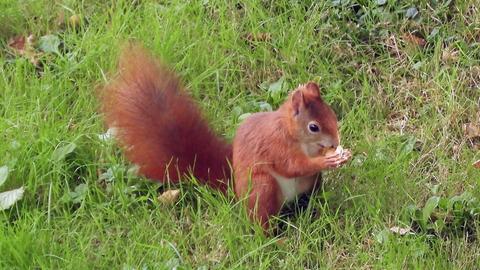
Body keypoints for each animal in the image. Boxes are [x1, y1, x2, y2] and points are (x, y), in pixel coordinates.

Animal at [99, 43, 350, 230]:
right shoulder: (275, 145)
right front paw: (327, 159)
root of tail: (236, 192)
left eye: (332, 115)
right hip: (262, 187)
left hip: (311, 184)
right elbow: (292, 165)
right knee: (260, 221)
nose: (335, 142)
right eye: (314, 127)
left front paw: (337, 154)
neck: (295, 135)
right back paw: (275, 239)